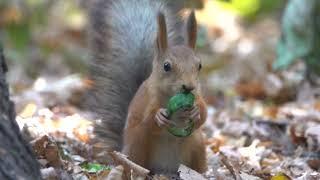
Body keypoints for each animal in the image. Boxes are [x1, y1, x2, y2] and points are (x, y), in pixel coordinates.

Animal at [86, 0, 208, 175]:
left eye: (199, 65)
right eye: (166, 66)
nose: (189, 87)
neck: (170, 95)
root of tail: (165, 170)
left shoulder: (198, 95)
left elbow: (204, 115)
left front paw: (196, 111)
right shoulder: (148, 100)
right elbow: (148, 122)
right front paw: (159, 116)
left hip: (197, 144)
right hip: (138, 143)